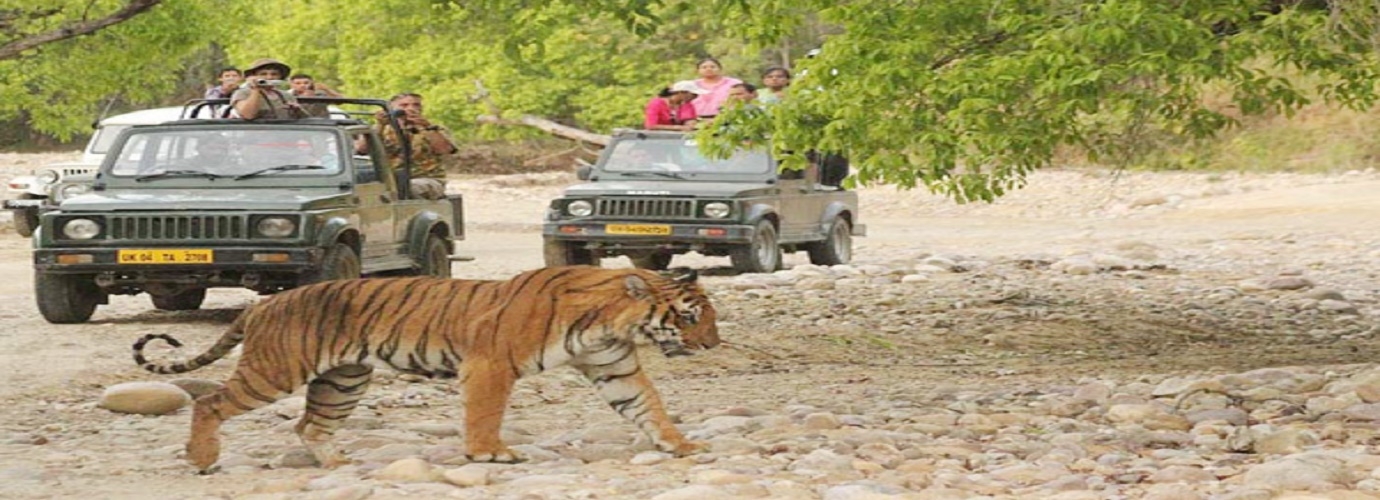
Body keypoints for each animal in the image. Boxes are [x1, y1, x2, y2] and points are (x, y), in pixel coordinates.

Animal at [129, 265, 723, 472]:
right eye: (692, 316)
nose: (714, 344)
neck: (612, 321)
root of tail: (261, 305)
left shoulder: (614, 369)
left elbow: (649, 406)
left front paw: (681, 444)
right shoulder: (490, 365)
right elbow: (485, 414)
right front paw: (489, 454)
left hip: (344, 380)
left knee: (310, 425)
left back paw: (338, 463)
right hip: (275, 371)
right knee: (209, 401)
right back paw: (203, 460)